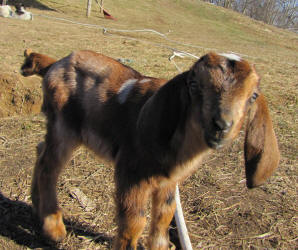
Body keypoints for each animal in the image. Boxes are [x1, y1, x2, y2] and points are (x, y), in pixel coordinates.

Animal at [25, 49, 280, 249]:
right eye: (194, 85)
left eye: (253, 96)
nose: (221, 125)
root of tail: (55, 63)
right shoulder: (131, 174)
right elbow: (134, 222)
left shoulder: (168, 182)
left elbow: (164, 216)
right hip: (64, 126)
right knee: (49, 167)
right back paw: (54, 229)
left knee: (41, 150)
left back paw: (37, 207)